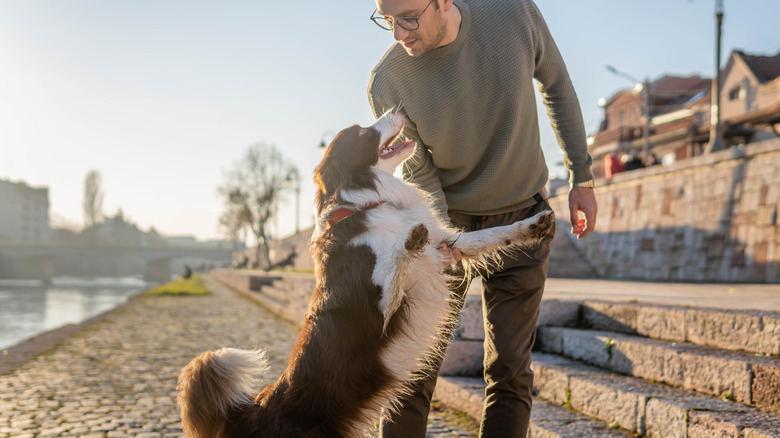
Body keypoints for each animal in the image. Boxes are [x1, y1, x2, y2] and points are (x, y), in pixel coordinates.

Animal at [177, 108, 556, 436]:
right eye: (361, 132)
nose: (399, 108)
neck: (371, 201)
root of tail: (255, 408)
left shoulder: (445, 248)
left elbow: (490, 234)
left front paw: (532, 225)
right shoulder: (381, 311)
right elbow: (394, 266)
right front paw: (409, 241)